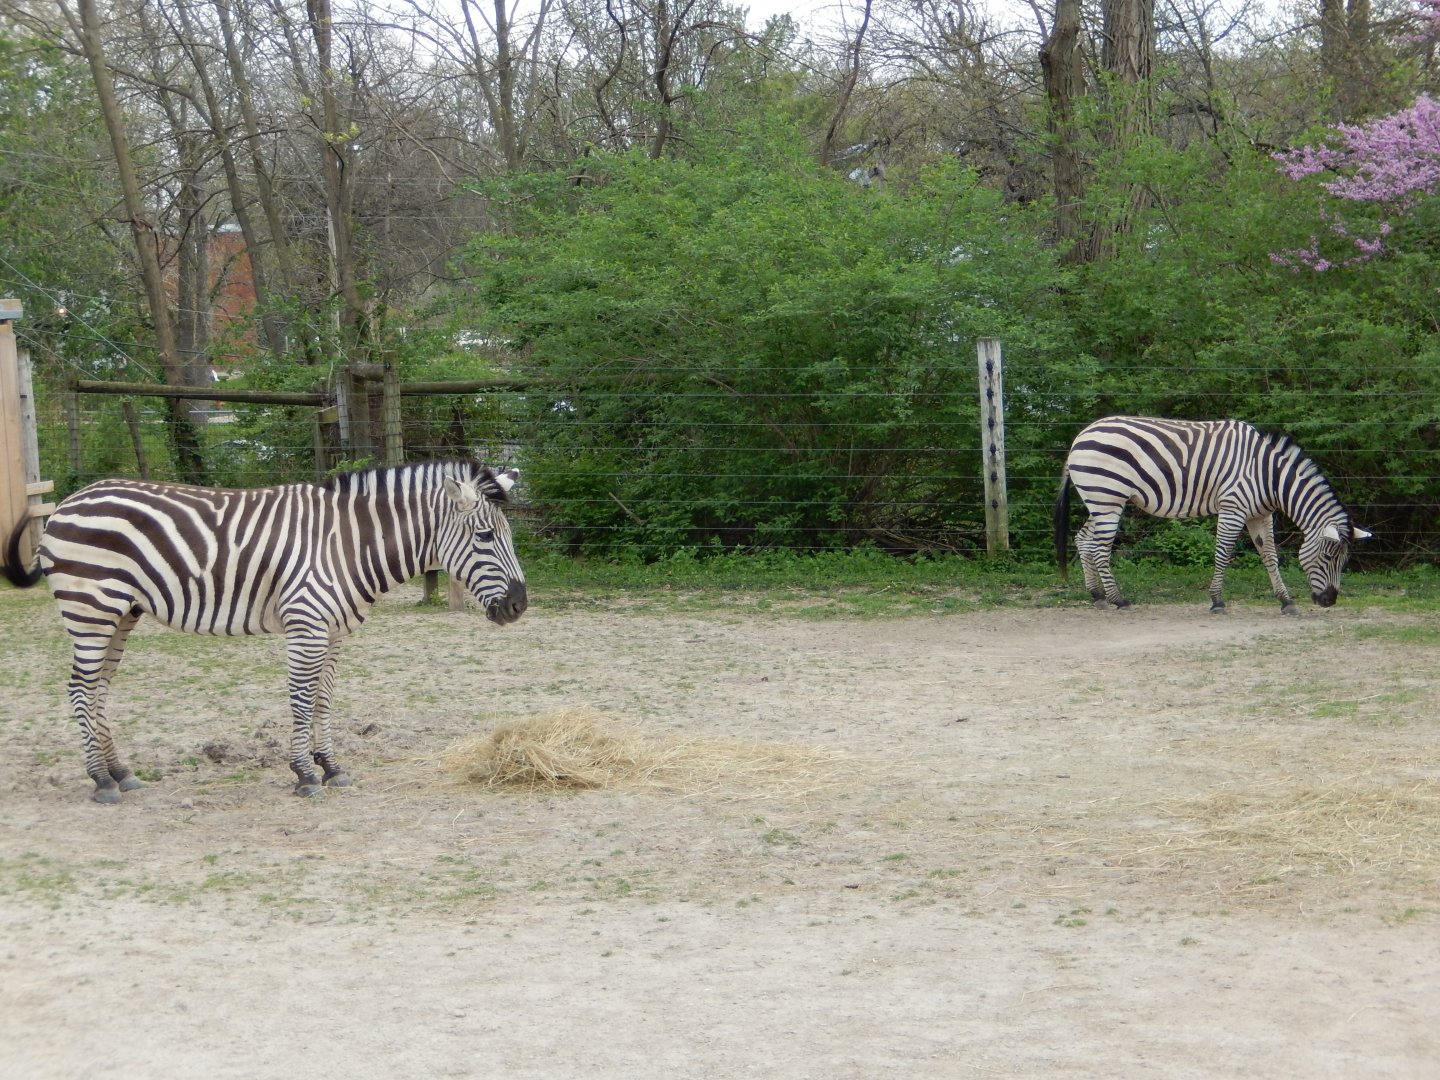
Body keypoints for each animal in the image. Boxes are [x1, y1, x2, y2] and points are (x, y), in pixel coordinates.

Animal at [2, 459, 528, 803]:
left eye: (509, 536)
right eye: (485, 537)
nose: (519, 606)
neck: (348, 543)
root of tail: (70, 500)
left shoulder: (335, 631)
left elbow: (323, 699)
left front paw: (331, 767)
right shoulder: (307, 623)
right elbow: (301, 697)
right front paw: (304, 774)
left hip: (122, 612)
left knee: (99, 688)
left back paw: (120, 771)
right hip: (91, 606)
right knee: (80, 687)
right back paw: (101, 780)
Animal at [1054, 416, 1370, 613]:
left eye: (1345, 560)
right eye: (1328, 557)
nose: (1329, 601)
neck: (1269, 476)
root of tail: (1081, 435)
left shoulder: (1260, 514)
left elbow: (1269, 556)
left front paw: (1286, 601)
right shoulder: (1233, 507)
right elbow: (1223, 553)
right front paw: (1217, 601)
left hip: (1099, 500)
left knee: (1083, 540)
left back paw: (1097, 596)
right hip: (1107, 498)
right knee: (1100, 548)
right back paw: (1118, 600)